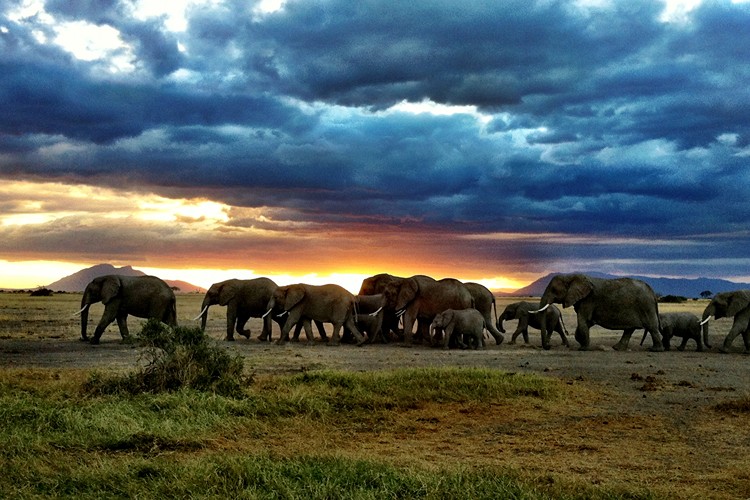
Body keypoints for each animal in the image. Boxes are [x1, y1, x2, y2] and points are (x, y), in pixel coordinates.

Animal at [536, 274, 668, 352]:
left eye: (554, 290)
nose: (548, 346)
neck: (571, 276)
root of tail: (652, 292)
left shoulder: (588, 300)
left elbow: (583, 320)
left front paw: (583, 348)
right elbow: (587, 323)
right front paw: (582, 343)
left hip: (645, 305)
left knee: (652, 327)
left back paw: (655, 350)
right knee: (629, 329)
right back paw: (617, 348)